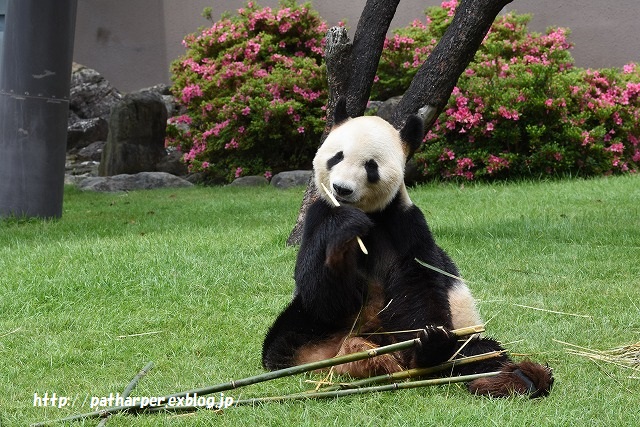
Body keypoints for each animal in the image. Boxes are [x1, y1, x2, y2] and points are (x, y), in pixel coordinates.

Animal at [262, 99, 552, 398]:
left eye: (371, 166)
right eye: (337, 157)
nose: (341, 189)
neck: (370, 216)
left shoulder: (405, 223)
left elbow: (417, 282)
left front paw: (428, 345)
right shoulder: (318, 217)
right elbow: (320, 291)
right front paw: (345, 230)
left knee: (479, 352)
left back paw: (515, 376)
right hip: (310, 328)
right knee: (283, 343)